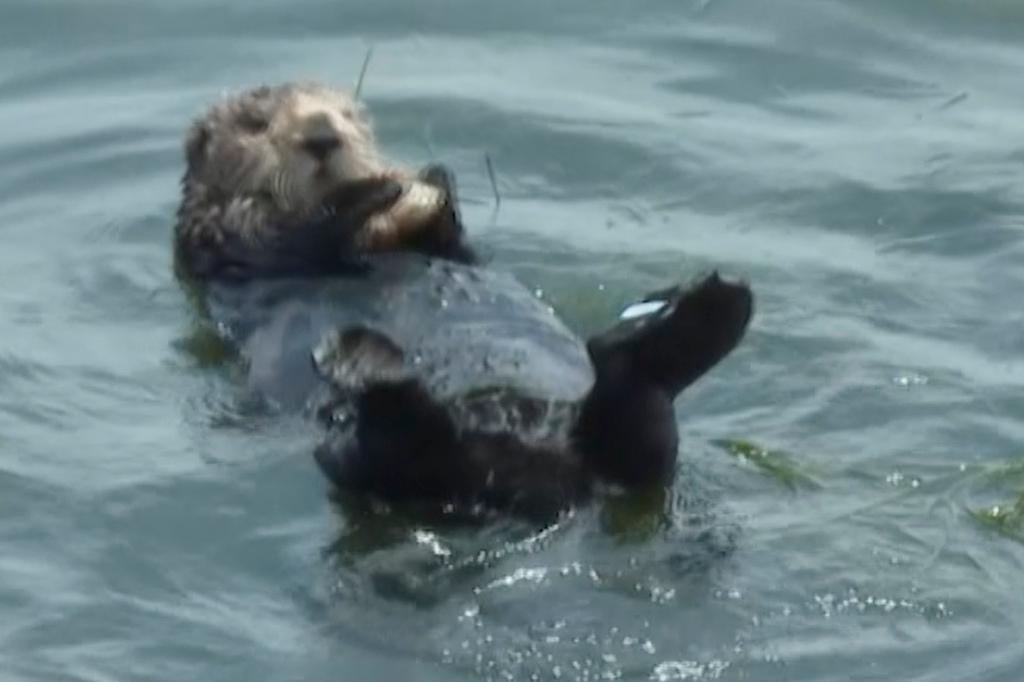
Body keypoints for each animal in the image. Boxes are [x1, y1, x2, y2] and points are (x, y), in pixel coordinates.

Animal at [177, 81, 475, 278]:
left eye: (347, 115)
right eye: (255, 124)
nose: (322, 137)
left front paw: (436, 176)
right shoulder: (227, 235)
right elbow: (298, 243)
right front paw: (377, 188)